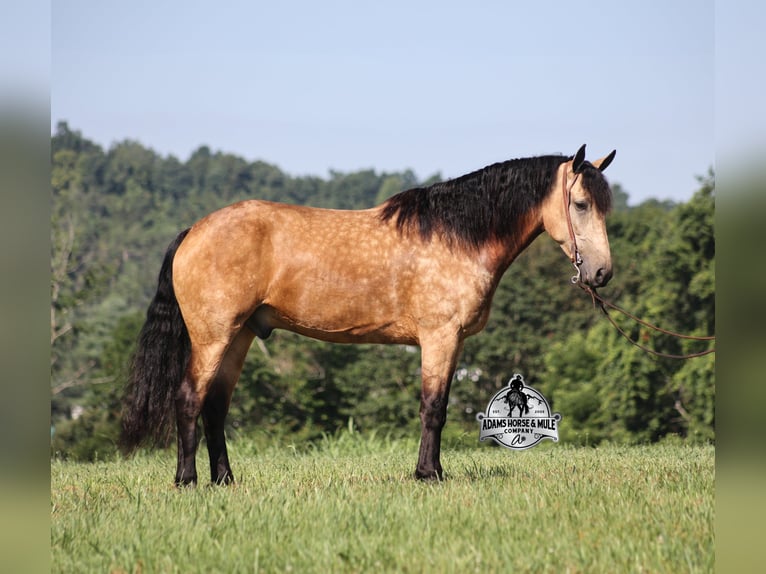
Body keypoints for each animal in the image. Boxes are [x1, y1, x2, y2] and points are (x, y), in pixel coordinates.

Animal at [120, 144, 616, 485]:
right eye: (580, 204)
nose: (601, 272)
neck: (456, 236)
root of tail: (193, 231)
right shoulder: (439, 338)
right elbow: (433, 408)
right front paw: (428, 474)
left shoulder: (451, 344)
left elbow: (438, 406)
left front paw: (432, 471)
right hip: (213, 336)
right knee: (189, 398)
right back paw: (188, 481)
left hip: (238, 337)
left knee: (215, 407)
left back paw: (224, 480)